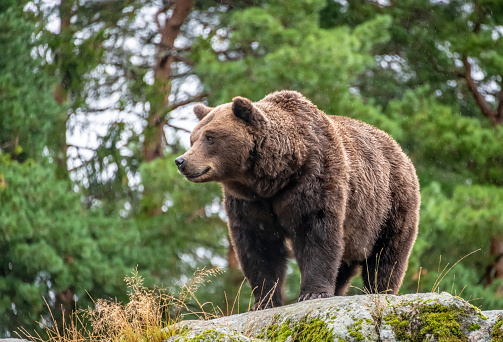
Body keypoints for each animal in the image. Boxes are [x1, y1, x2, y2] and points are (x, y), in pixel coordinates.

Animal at [175, 89, 420, 308]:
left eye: (210, 137)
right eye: (192, 138)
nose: (181, 161)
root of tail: (400, 151)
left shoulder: (314, 179)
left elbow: (316, 232)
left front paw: (312, 293)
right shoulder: (249, 202)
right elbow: (258, 245)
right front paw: (263, 301)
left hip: (390, 204)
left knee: (387, 254)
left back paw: (380, 290)